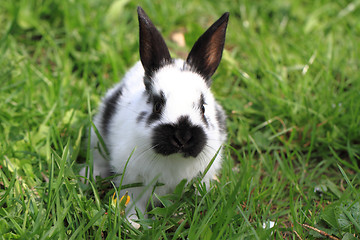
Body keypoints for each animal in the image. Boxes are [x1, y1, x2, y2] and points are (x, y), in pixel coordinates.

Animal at [80, 6, 229, 221]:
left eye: (202, 107)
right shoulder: (132, 183)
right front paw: (135, 224)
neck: (172, 159)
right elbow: (133, 204)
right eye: (158, 106)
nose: (182, 137)